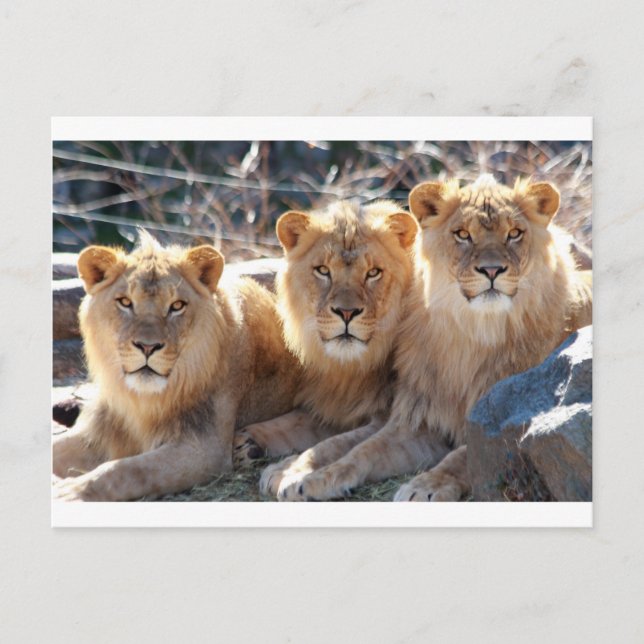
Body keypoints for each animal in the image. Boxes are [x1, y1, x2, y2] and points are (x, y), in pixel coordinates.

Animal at [52, 231, 301, 501]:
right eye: (125, 302)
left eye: (177, 306)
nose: (147, 347)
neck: (145, 401)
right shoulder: (101, 430)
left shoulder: (205, 450)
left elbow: (127, 469)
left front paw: (70, 492)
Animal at [232, 200, 419, 485]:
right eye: (323, 271)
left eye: (373, 273)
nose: (346, 312)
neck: (354, 366)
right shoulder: (335, 402)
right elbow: (293, 423)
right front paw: (245, 442)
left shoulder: (389, 414)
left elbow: (337, 443)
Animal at [265, 175, 592, 501]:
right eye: (462, 234)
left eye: (514, 233)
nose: (491, 270)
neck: (475, 334)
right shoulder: (417, 419)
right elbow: (357, 449)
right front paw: (304, 474)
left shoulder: (489, 424)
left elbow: (461, 457)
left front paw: (424, 487)